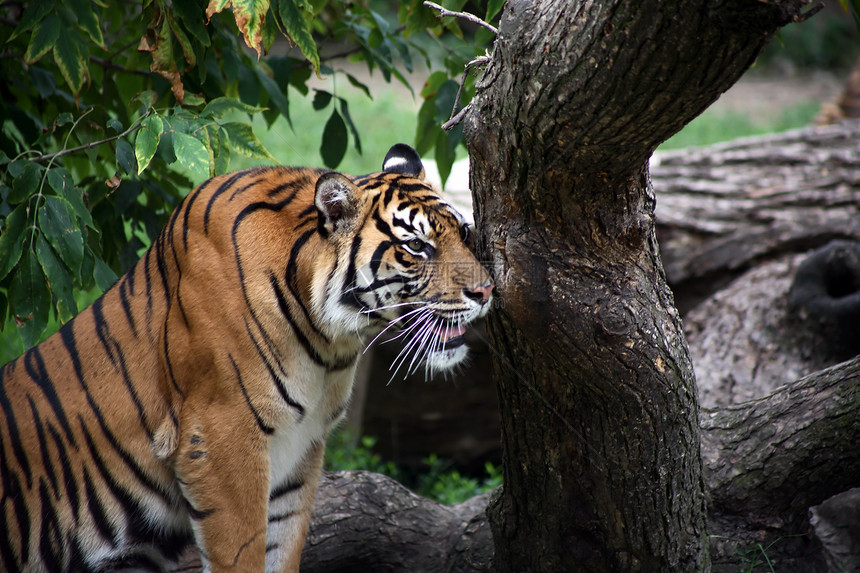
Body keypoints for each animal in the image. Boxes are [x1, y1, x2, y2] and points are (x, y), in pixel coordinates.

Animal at [0, 141, 494, 568]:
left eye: (465, 231)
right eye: (417, 247)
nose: (487, 291)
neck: (331, 343)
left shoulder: (300, 451)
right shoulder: (221, 441)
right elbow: (241, 554)